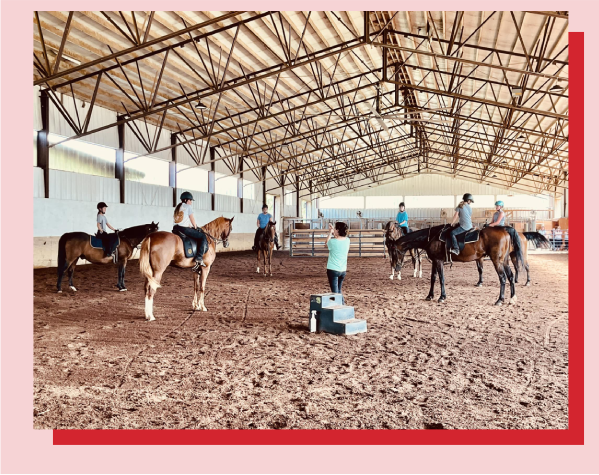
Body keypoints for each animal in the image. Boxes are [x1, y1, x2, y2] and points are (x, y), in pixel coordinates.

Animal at [396, 225, 524, 306]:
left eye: (395, 251)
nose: (396, 268)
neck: (431, 237)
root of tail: (505, 231)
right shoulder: (434, 261)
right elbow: (433, 278)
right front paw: (430, 296)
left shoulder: (438, 261)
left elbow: (441, 278)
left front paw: (442, 297)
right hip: (505, 261)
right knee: (511, 276)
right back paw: (512, 298)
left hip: (497, 261)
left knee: (502, 278)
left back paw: (499, 300)